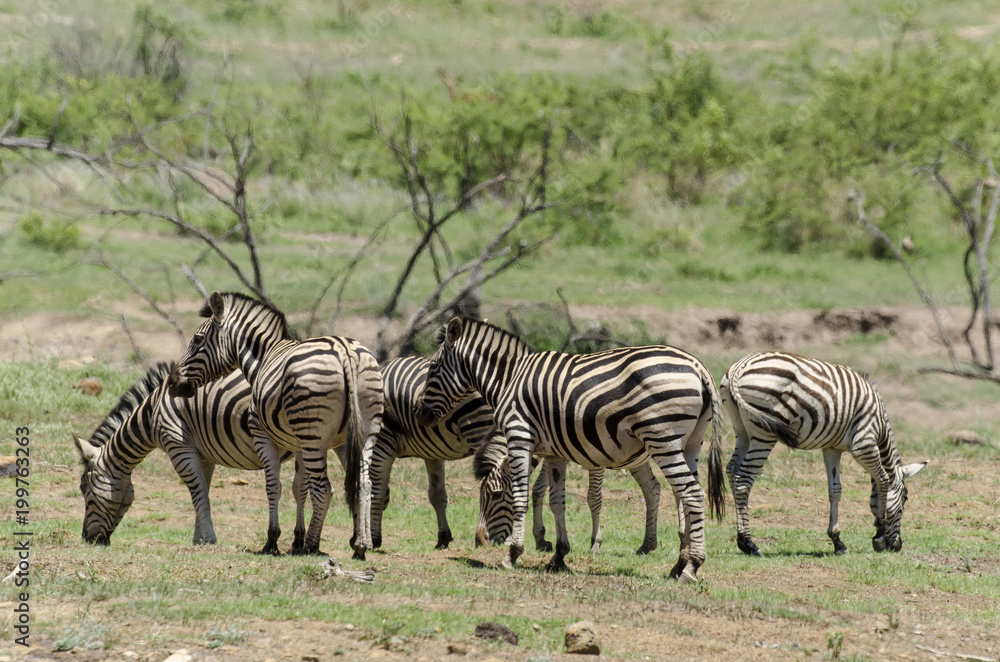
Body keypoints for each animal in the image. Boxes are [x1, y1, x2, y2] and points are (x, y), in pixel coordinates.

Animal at [72, 363, 306, 550]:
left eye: (85, 491)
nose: (87, 539)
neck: (152, 413)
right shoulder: (204, 455)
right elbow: (204, 494)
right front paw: (199, 539)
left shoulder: (178, 446)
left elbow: (198, 494)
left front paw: (208, 539)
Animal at [166, 291, 384, 560]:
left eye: (197, 339)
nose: (171, 383)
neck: (262, 360)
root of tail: (345, 351)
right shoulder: (300, 443)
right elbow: (300, 487)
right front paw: (296, 538)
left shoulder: (262, 435)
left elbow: (273, 487)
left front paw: (273, 540)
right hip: (364, 431)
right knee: (364, 483)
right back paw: (360, 545)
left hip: (314, 434)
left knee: (324, 488)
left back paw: (313, 545)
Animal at [473, 434, 663, 556]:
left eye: (496, 495)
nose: (480, 541)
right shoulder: (554, 453)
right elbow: (538, 489)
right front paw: (540, 538)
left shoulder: (596, 457)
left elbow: (593, 498)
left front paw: (596, 543)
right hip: (637, 456)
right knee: (652, 488)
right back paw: (647, 544)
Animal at [720, 351, 927, 556]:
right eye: (905, 498)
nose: (897, 546)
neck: (880, 424)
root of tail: (741, 366)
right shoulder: (864, 444)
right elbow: (883, 480)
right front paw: (880, 535)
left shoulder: (832, 448)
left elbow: (835, 490)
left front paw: (838, 542)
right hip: (764, 433)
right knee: (743, 478)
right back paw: (749, 543)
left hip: (742, 430)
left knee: (731, 470)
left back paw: (741, 540)